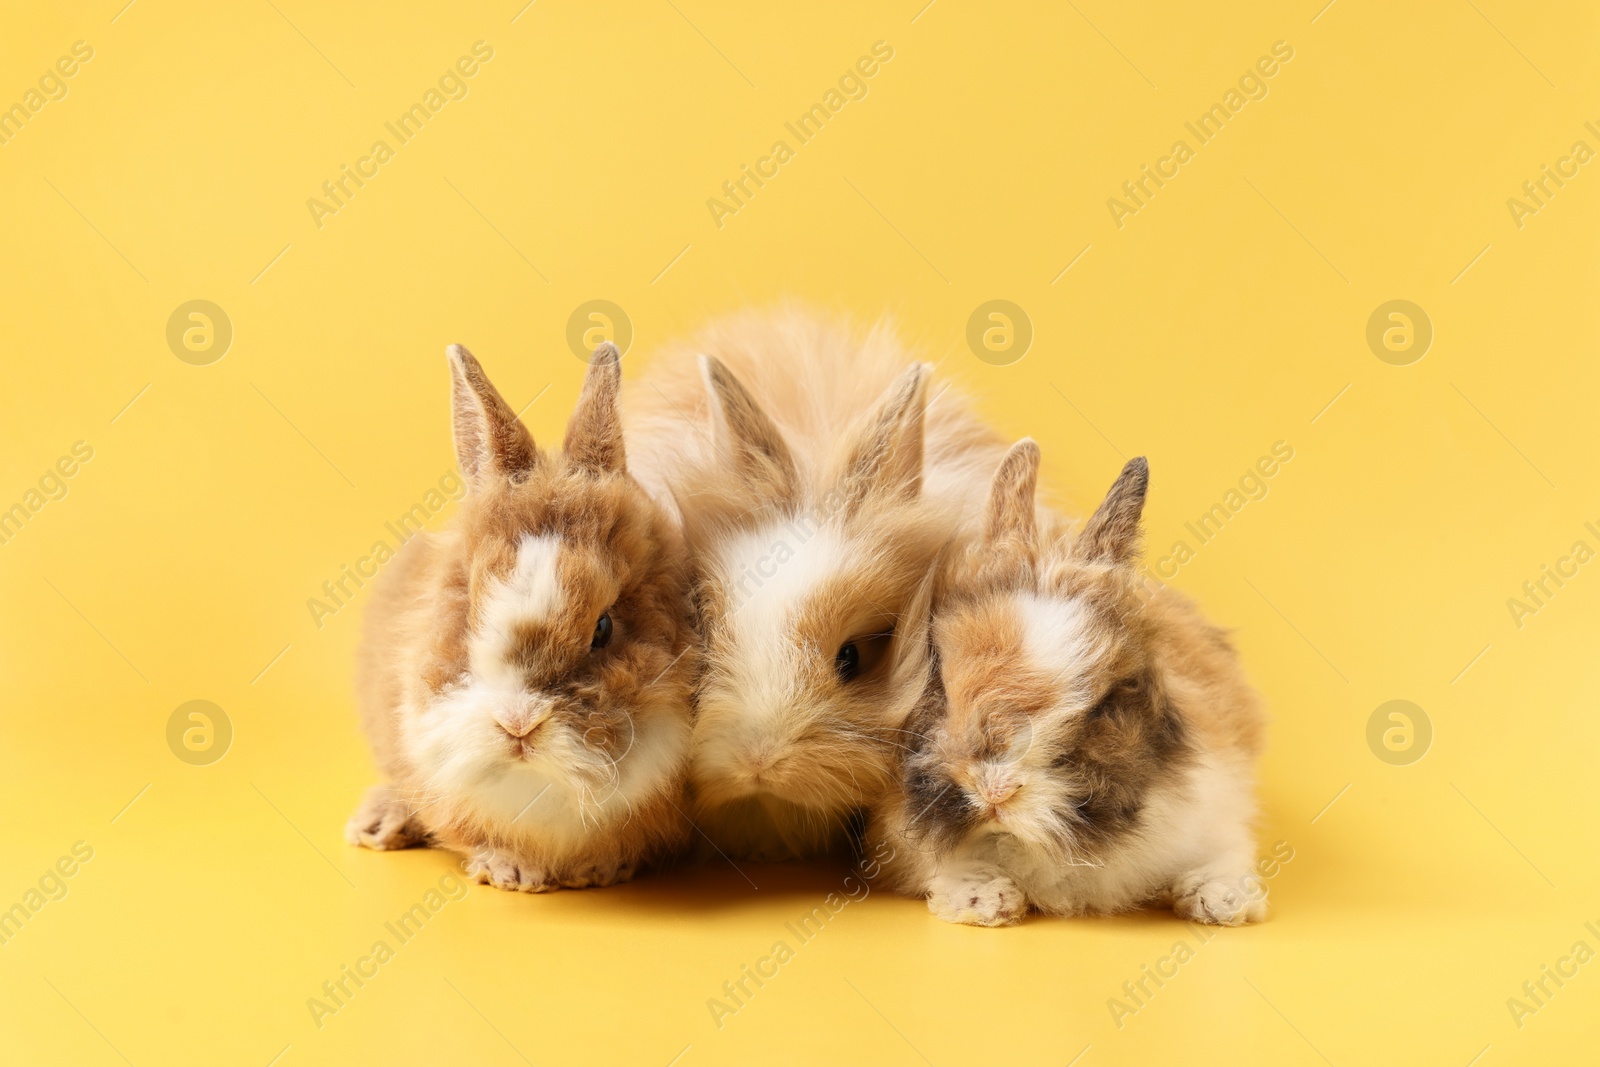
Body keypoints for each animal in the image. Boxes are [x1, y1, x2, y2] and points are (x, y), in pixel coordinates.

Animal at [870, 441, 1267, 927]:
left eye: (1103, 705)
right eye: (940, 683)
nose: (996, 790)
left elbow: (1225, 855)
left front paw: (1221, 900)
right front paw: (985, 900)